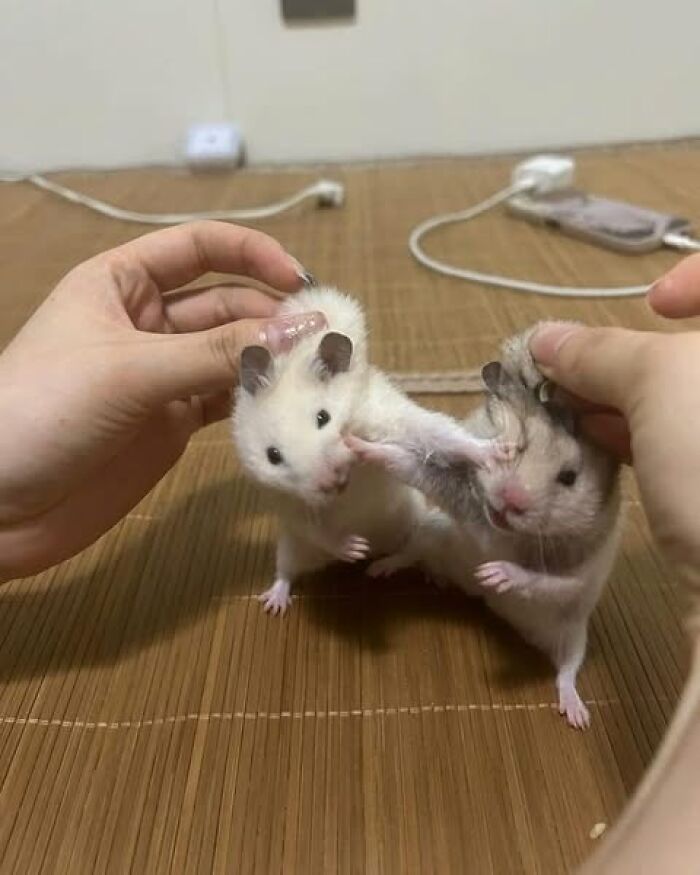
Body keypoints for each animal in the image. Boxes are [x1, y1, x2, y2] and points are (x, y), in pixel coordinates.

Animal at [231, 286, 499, 616]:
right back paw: (276, 602)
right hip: (291, 547)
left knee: (412, 554)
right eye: (273, 456)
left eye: (323, 417)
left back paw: (394, 569)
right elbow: (317, 529)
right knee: (286, 570)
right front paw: (355, 547)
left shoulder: (386, 416)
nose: (332, 482)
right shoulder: (287, 503)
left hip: (414, 522)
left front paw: (494, 452)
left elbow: (438, 434)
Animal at [348, 325, 622, 729]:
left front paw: (493, 574)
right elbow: (411, 465)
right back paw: (386, 569)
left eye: (569, 477)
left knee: (567, 670)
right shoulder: (462, 504)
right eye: (519, 446)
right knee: (411, 553)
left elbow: (541, 580)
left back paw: (577, 714)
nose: (511, 501)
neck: (502, 533)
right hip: (435, 531)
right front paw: (356, 444)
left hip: (574, 635)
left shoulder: (574, 575)